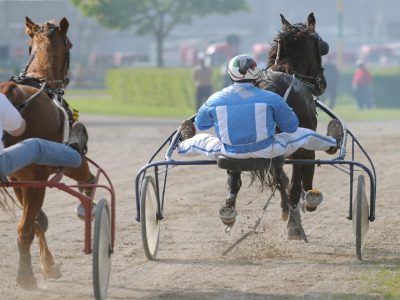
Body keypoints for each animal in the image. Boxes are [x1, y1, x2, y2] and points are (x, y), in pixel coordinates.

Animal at [0, 18, 94, 288]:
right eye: (70, 43)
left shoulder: (19, 179)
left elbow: (36, 222)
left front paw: (48, 265)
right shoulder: (62, 161)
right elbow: (88, 178)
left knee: (30, 225)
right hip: (44, 170)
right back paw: (26, 277)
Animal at [255, 12, 330, 240]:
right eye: (321, 46)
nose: (322, 84)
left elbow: (283, 180)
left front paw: (287, 210)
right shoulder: (306, 147)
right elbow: (302, 181)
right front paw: (307, 202)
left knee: (281, 180)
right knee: (294, 185)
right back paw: (296, 225)